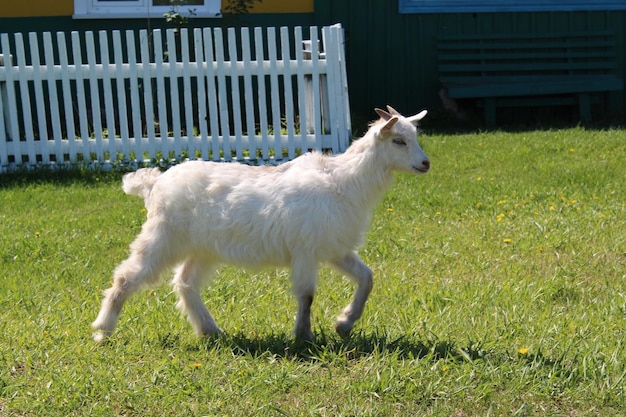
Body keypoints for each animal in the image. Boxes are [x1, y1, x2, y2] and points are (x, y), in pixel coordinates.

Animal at [92, 106, 428, 342]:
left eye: (415, 137)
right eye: (399, 141)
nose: (426, 163)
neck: (342, 181)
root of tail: (154, 183)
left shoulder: (334, 248)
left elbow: (367, 278)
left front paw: (344, 323)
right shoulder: (305, 251)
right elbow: (307, 295)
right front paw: (304, 336)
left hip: (201, 250)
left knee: (185, 283)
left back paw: (210, 329)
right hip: (162, 238)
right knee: (126, 277)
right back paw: (102, 330)